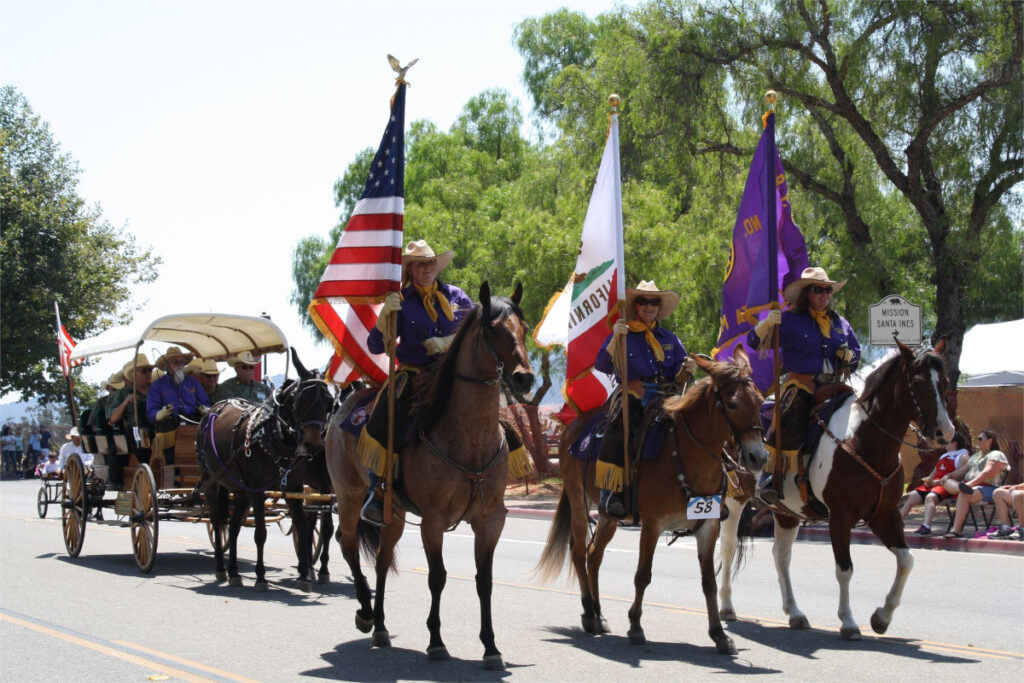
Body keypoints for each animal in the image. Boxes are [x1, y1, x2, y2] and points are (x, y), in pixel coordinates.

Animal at [195, 350, 331, 589]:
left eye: (328, 401)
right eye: (303, 400)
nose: (314, 445)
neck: (273, 434)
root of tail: (213, 408)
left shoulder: (295, 488)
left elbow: (302, 526)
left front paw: (305, 575)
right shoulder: (259, 491)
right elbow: (260, 533)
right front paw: (260, 577)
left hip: (240, 490)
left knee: (233, 527)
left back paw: (234, 572)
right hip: (212, 481)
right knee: (217, 521)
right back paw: (221, 568)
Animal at [325, 280, 536, 671]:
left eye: (525, 329)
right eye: (492, 329)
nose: (524, 377)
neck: (470, 438)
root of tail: (345, 405)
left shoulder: (490, 520)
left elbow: (485, 580)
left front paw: (491, 647)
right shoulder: (433, 520)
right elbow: (437, 577)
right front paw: (436, 642)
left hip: (393, 513)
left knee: (381, 560)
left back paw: (380, 626)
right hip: (348, 495)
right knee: (346, 543)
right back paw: (365, 613)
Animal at [536, 350, 770, 655]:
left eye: (760, 401)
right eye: (731, 404)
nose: (758, 457)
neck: (686, 454)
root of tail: (573, 427)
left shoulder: (708, 525)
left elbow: (708, 581)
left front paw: (719, 634)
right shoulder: (652, 525)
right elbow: (643, 575)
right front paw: (636, 626)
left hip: (608, 515)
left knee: (594, 555)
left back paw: (599, 615)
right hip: (578, 501)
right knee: (577, 552)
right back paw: (588, 612)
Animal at [716, 339, 954, 643]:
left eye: (945, 381)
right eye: (918, 381)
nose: (945, 432)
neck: (864, 441)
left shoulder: (884, 515)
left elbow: (906, 560)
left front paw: (882, 617)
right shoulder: (840, 516)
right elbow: (845, 568)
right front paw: (849, 622)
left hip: (786, 512)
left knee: (781, 556)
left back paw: (795, 612)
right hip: (733, 501)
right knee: (728, 547)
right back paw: (727, 606)